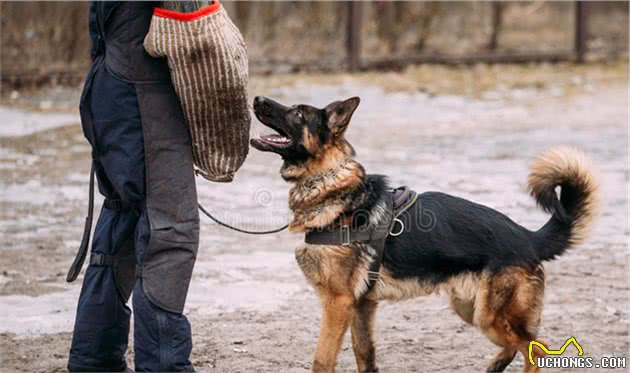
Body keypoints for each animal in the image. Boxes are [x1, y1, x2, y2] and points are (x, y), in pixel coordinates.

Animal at [249, 96, 600, 372]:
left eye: (297, 113)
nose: (257, 98)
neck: (328, 179)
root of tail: (527, 236)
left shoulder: (338, 303)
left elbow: (322, 359)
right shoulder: (361, 306)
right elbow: (366, 355)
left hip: (491, 315)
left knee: (535, 349)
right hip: (472, 310)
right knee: (520, 344)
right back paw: (495, 365)